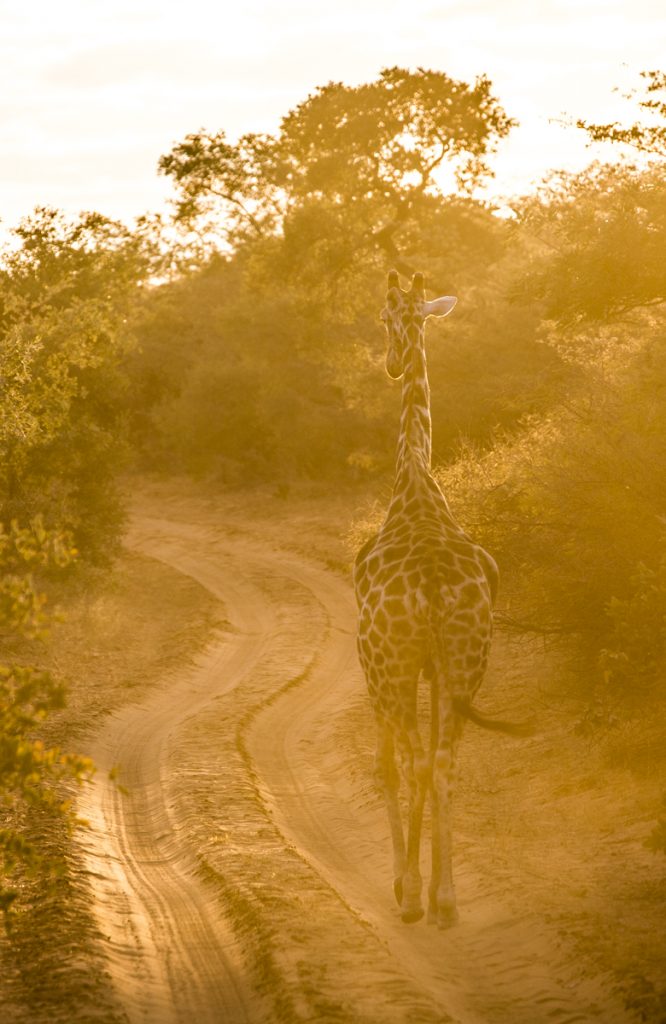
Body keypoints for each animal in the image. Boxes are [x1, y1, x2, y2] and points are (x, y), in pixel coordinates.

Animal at [352, 270, 524, 929]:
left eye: (384, 315)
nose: (394, 364)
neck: (414, 475)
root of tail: (427, 585)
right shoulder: (436, 666)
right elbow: (430, 760)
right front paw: (425, 886)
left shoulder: (379, 667)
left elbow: (391, 765)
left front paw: (405, 884)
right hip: (467, 659)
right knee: (444, 760)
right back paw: (446, 900)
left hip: (391, 666)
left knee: (410, 761)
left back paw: (412, 897)